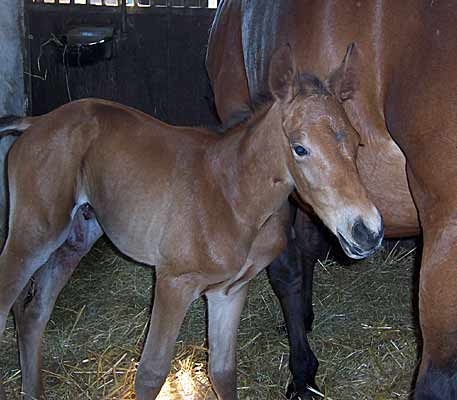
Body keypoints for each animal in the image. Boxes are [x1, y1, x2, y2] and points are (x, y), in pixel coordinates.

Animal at [0, 47, 382, 400]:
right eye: (300, 148)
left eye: (357, 142)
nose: (367, 230)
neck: (233, 194)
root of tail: (36, 122)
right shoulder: (173, 282)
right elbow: (151, 373)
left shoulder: (229, 292)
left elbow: (222, 371)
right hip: (33, 234)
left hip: (76, 236)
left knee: (34, 313)